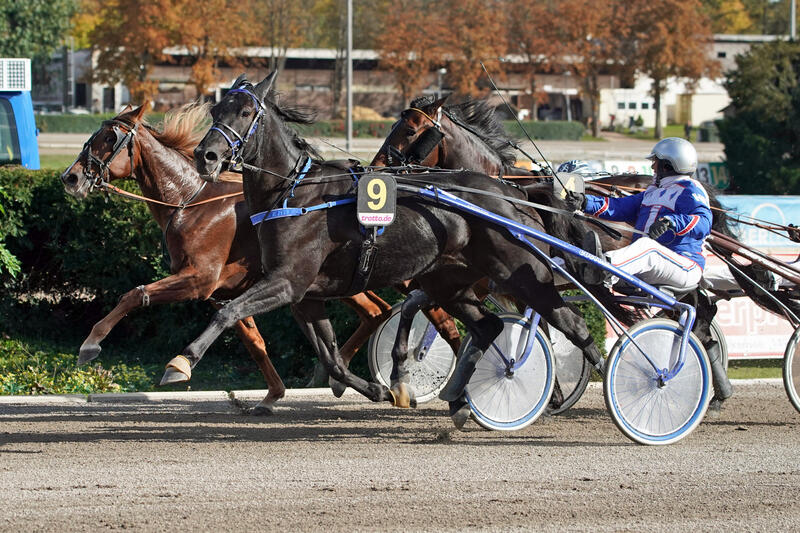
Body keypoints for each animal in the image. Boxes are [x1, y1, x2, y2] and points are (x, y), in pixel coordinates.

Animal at [189, 74, 600, 424]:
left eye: (245, 112)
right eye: (215, 110)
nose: (205, 156)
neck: (292, 194)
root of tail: (514, 194)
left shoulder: (287, 282)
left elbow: (227, 312)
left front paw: (183, 360)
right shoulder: (304, 295)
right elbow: (332, 358)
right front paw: (380, 390)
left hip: (522, 273)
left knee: (569, 323)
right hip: (450, 283)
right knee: (489, 326)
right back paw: (459, 396)